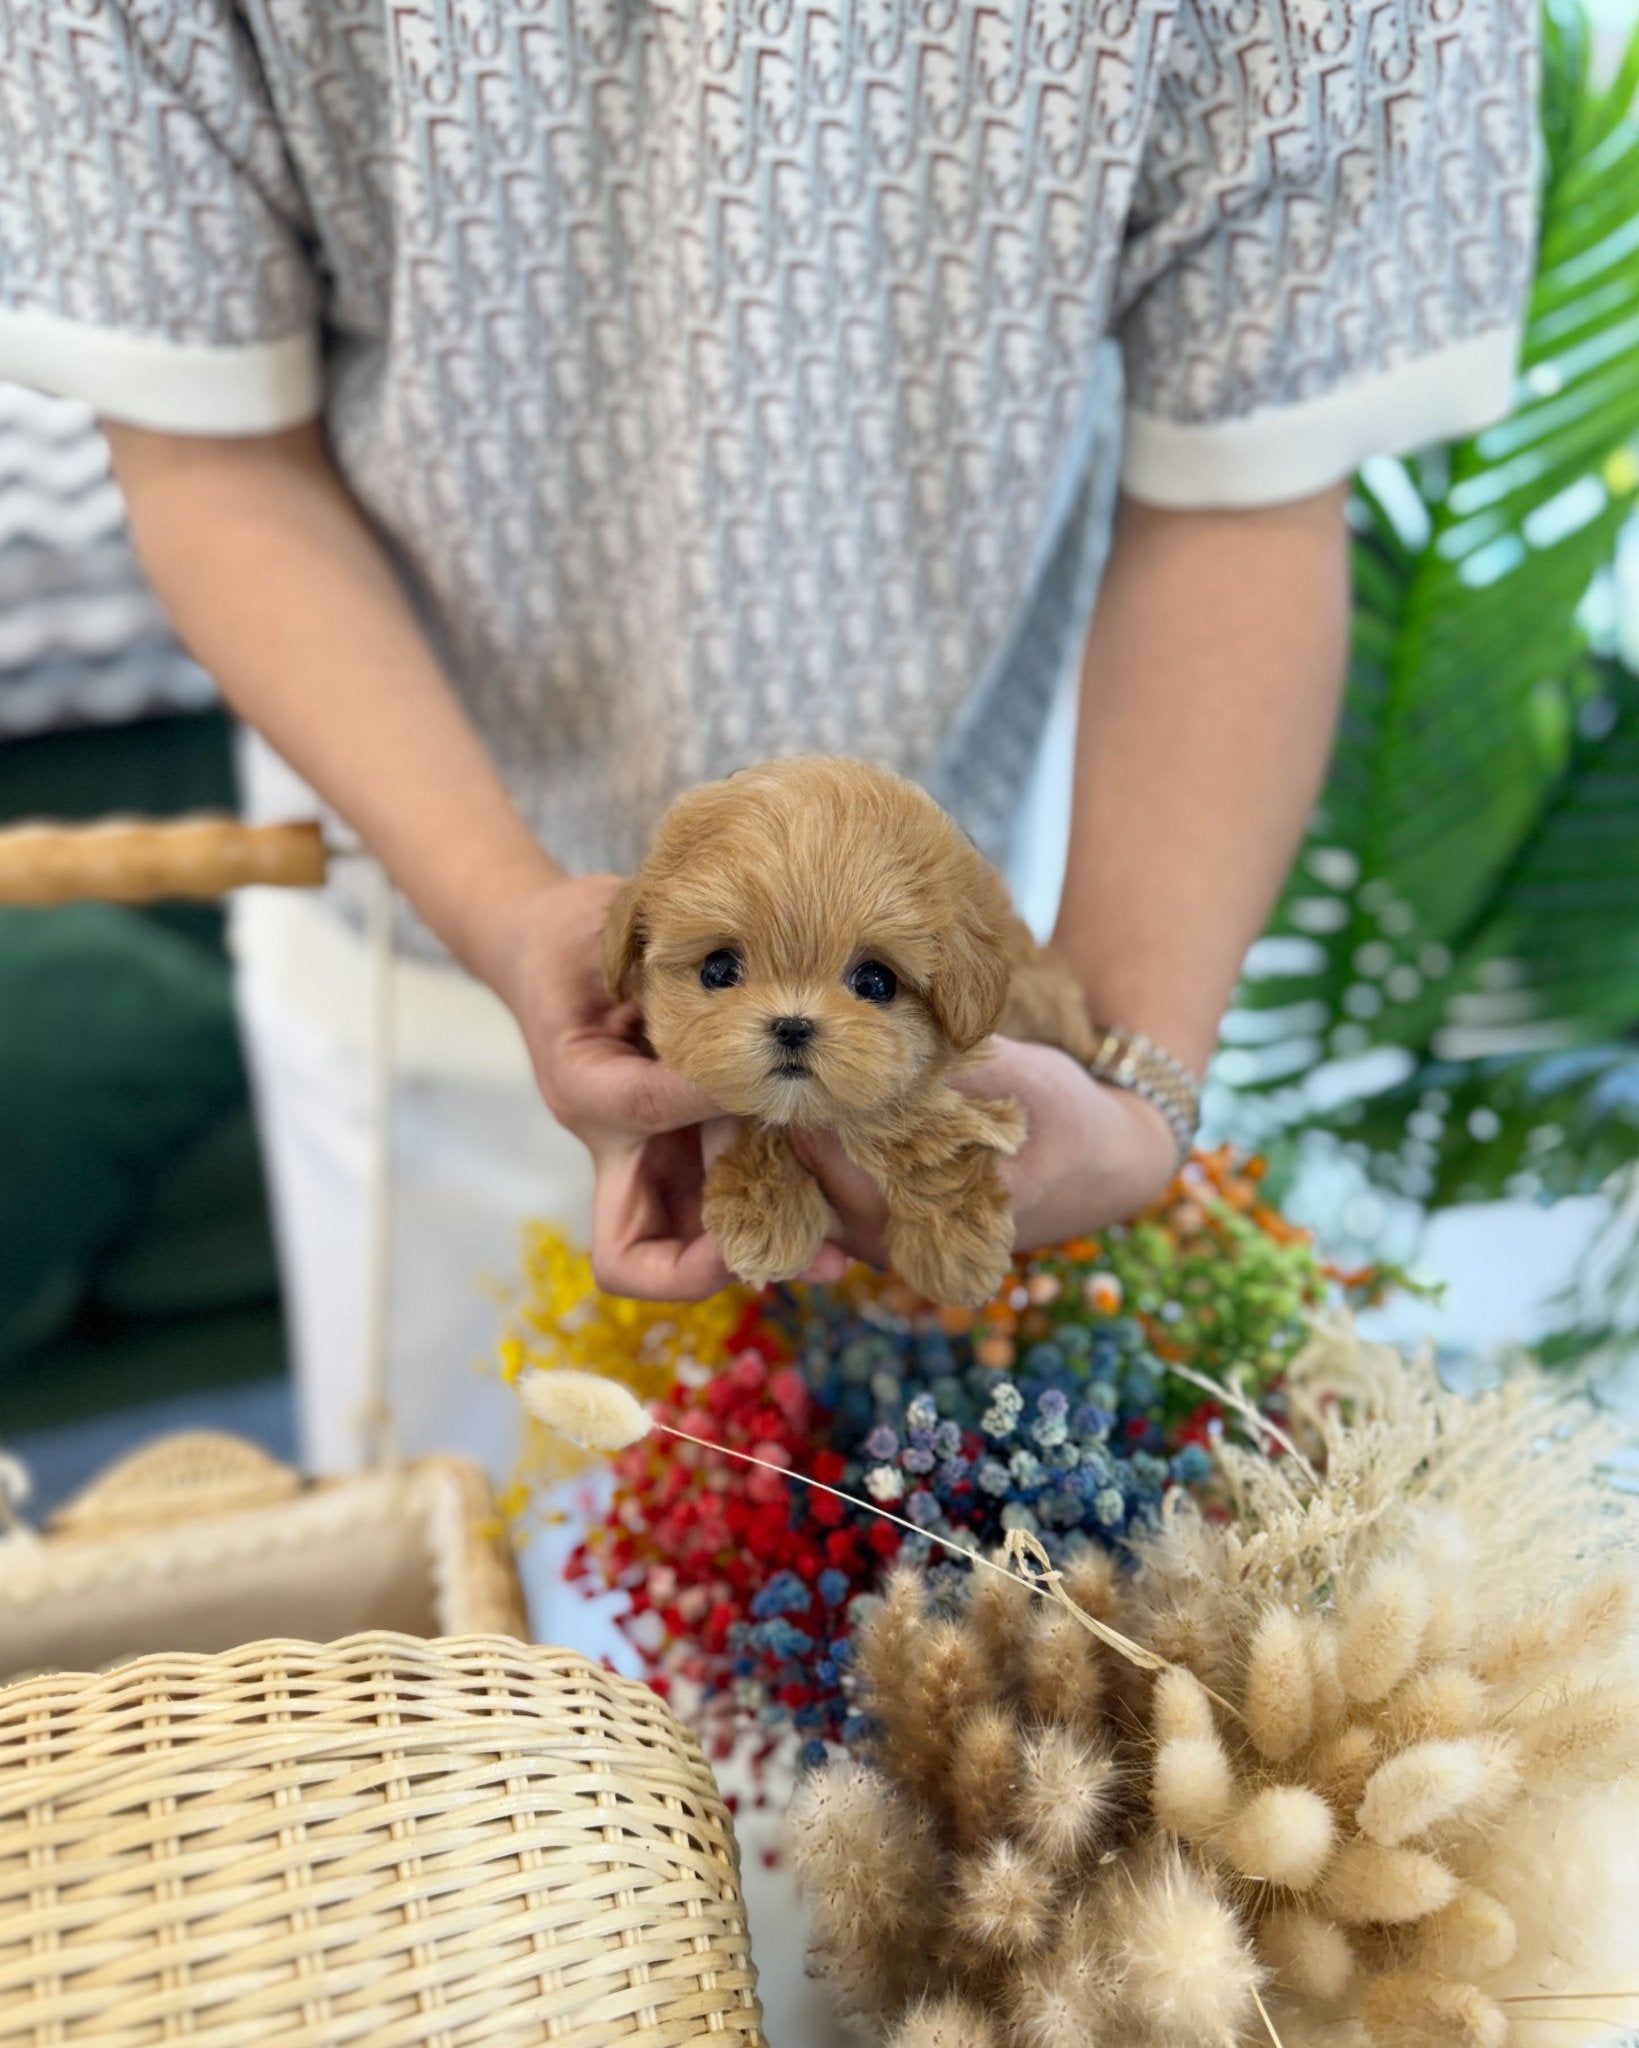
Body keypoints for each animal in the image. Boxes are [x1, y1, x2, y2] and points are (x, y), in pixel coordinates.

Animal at [606, 761, 1098, 1302]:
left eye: (876, 982)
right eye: (719, 970)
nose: (793, 1026)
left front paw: (953, 1244)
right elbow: (757, 1118)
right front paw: (764, 1213)